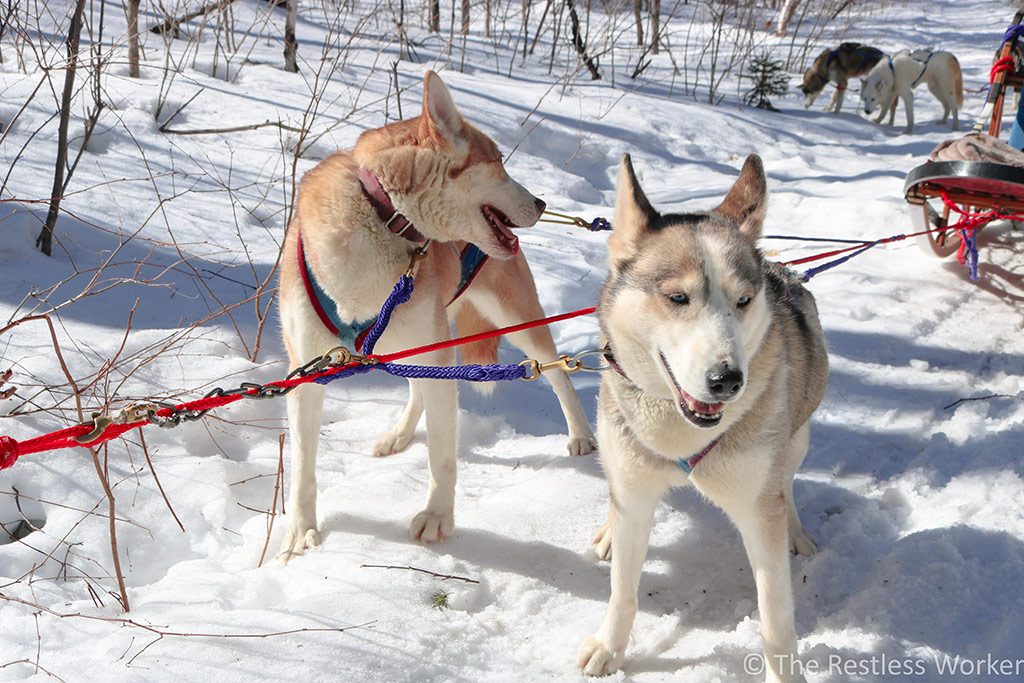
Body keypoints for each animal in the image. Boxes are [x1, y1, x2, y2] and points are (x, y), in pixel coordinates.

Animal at [276, 72, 598, 565]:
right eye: (498, 162)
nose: (542, 203)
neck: (383, 216)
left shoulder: (437, 356)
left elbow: (443, 457)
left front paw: (437, 517)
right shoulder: (307, 372)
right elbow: (302, 470)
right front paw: (300, 530)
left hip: (515, 318)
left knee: (559, 372)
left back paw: (580, 434)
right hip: (417, 343)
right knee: (416, 390)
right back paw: (400, 434)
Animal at [581, 156, 827, 683]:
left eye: (743, 300)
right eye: (678, 298)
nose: (727, 380)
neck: (680, 432)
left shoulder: (757, 508)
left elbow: (776, 617)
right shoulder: (635, 495)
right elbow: (623, 589)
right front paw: (610, 646)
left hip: (795, 439)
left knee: (787, 485)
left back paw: (796, 530)